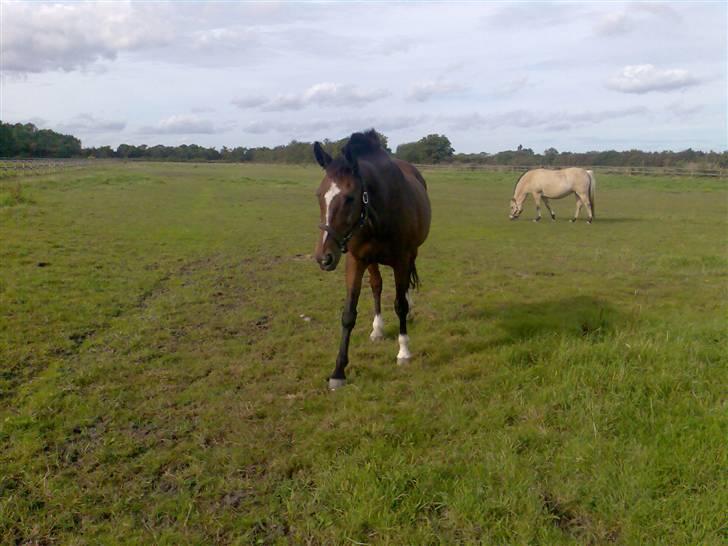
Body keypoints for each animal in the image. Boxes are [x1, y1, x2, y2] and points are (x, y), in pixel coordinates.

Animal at [310, 130, 430, 388]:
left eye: (350, 198)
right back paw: (378, 329)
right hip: (372, 261)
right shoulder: (356, 260)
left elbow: (400, 304)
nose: (324, 257)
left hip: (411, 254)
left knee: (405, 286)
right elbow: (348, 314)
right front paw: (338, 371)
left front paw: (404, 352)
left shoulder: (401, 259)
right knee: (376, 286)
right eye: (319, 195)